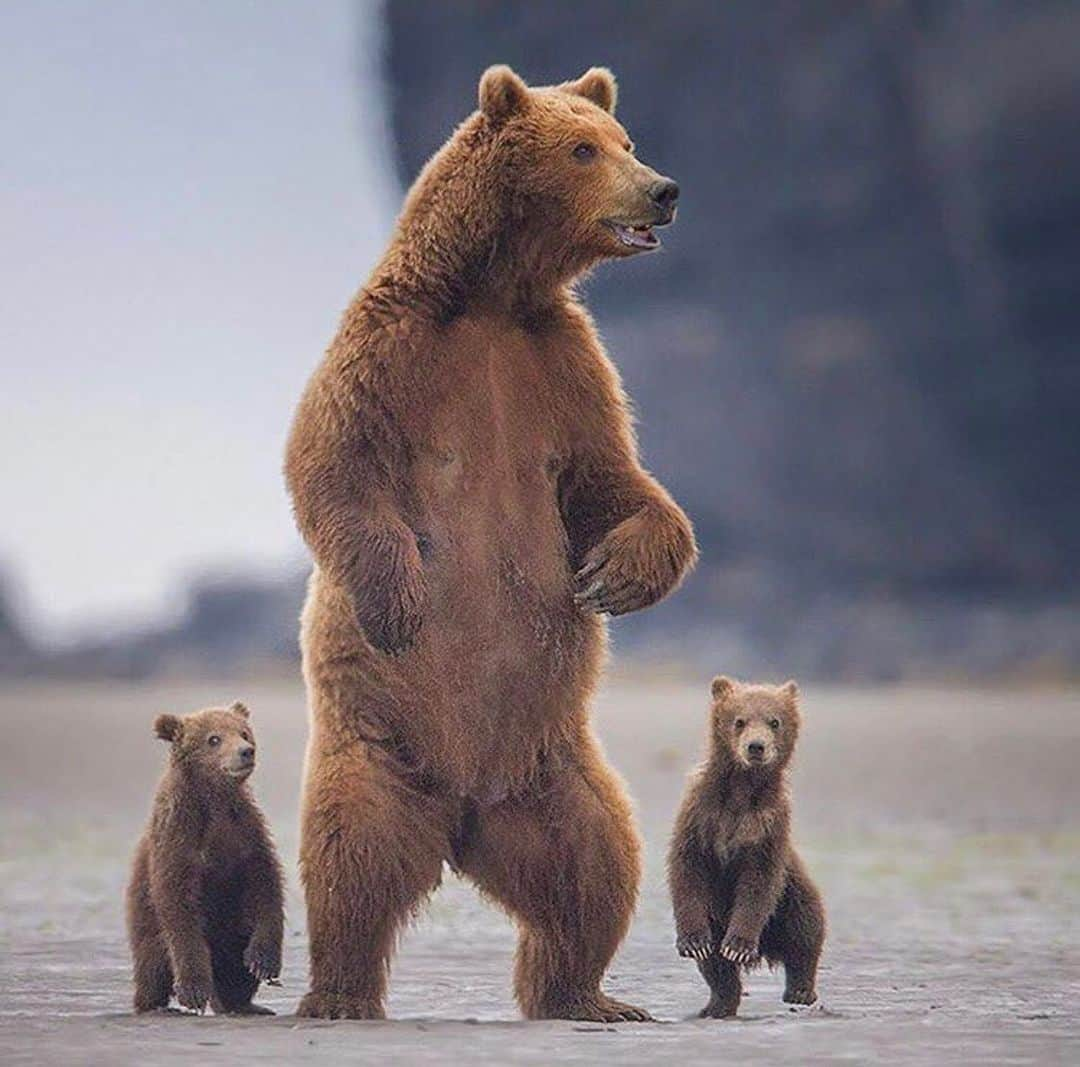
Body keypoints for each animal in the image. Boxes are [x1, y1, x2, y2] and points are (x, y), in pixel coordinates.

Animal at [124, 704, 285, 1010]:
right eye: (214, 739)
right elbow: (179, 906)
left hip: (232, 931)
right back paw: (158, 1004)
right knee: (152, 961)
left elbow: (265, 885)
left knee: (236, 966)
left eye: (244, 732)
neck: (214, 800)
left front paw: (263, 961)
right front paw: (194, 990)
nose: (246, 751)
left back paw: (243, 1003)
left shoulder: (245, 832)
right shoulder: (178, 836)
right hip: (144, 922)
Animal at [282, 62, 695, 1019]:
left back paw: (589, 994)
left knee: (596, 863)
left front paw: (614, 574)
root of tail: (464, 816)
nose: (663, 189)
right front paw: (398, 599)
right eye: (581, 149)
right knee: (350, 858)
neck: (494, 295)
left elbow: (611, 480)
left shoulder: (565, 367)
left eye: (623, 139)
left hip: (554, 770)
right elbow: (331, 457)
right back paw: (341, 992)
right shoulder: (392, 346)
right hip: (379, 748)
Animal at [665, 673, 825, 1015]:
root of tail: (767, 949)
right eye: (739, 721)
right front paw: (693, 941)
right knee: (716, 964)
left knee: (806, 928)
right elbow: (686, 868)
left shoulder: (768, 826)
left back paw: (800, 990)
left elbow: (758, 885)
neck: (740, 791)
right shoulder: (700, 815)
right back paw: (718, 1003)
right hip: (715, 912)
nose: (756, 746)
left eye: (774, 721)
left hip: (793, 890)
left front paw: (738, 946)